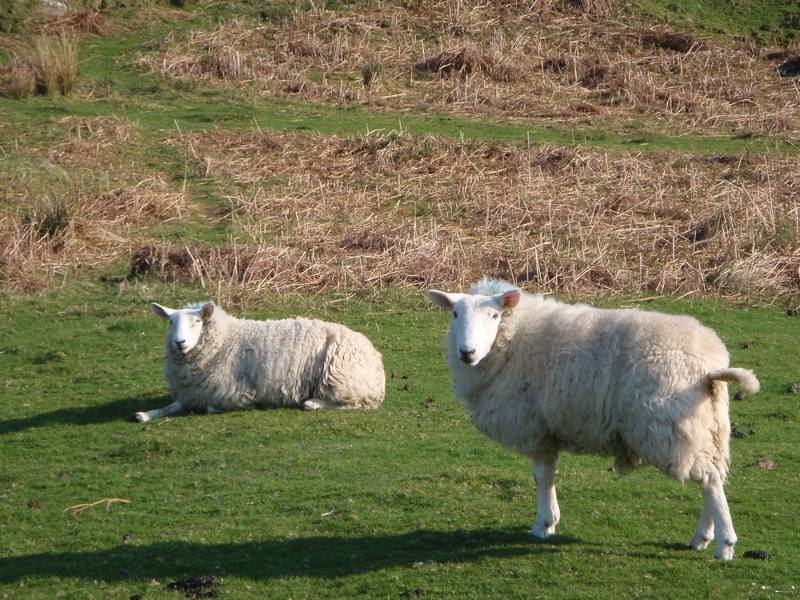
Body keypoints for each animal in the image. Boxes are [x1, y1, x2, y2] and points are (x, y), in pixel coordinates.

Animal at [136, 300, 386, 422]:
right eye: (170, 322)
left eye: (197, 322)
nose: (180, 342)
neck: (225, 340)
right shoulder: (192, 392)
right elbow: (173, 405)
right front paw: (145, 414)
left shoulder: (236, 393)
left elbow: (210, 407)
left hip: (341, 380)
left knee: (354, 404)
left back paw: (313, 403)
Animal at [428, 278, 760, 560]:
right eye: (455, 314)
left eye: (495, 315)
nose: (467, 352)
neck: (514, 340)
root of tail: (710, 367)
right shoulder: (548, 430)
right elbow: (549, 475)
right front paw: (551, 521)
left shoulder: (535, 428)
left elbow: (541, 476)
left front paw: (542, 525)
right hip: (707, 428)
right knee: (712, 479)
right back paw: (703, 536)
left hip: (669, 427)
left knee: (710, 481)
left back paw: (724, 545)